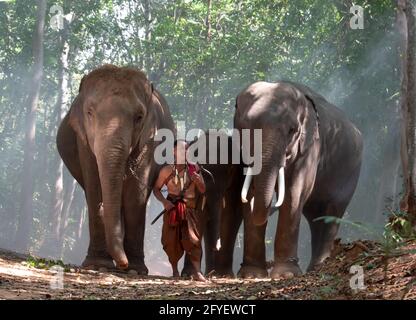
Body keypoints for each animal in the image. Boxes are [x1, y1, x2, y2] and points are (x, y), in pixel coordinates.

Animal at [56, 64, 174, 272]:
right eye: (89, 112)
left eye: (139, 117)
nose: (122, 264)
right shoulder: (83, 140)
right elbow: (94, 188)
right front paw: (98, 265)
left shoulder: (150, 139)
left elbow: (135, 197)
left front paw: (134, 269)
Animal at [221, 81, 364, 278]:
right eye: (245, 128)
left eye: (292, 131)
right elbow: (248, 191)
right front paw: (252, 275)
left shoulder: (310, 148)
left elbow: (294, 192)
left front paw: (286, 274)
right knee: (316, 218)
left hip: (350, 173)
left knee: (332, 212)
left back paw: (320, 267)